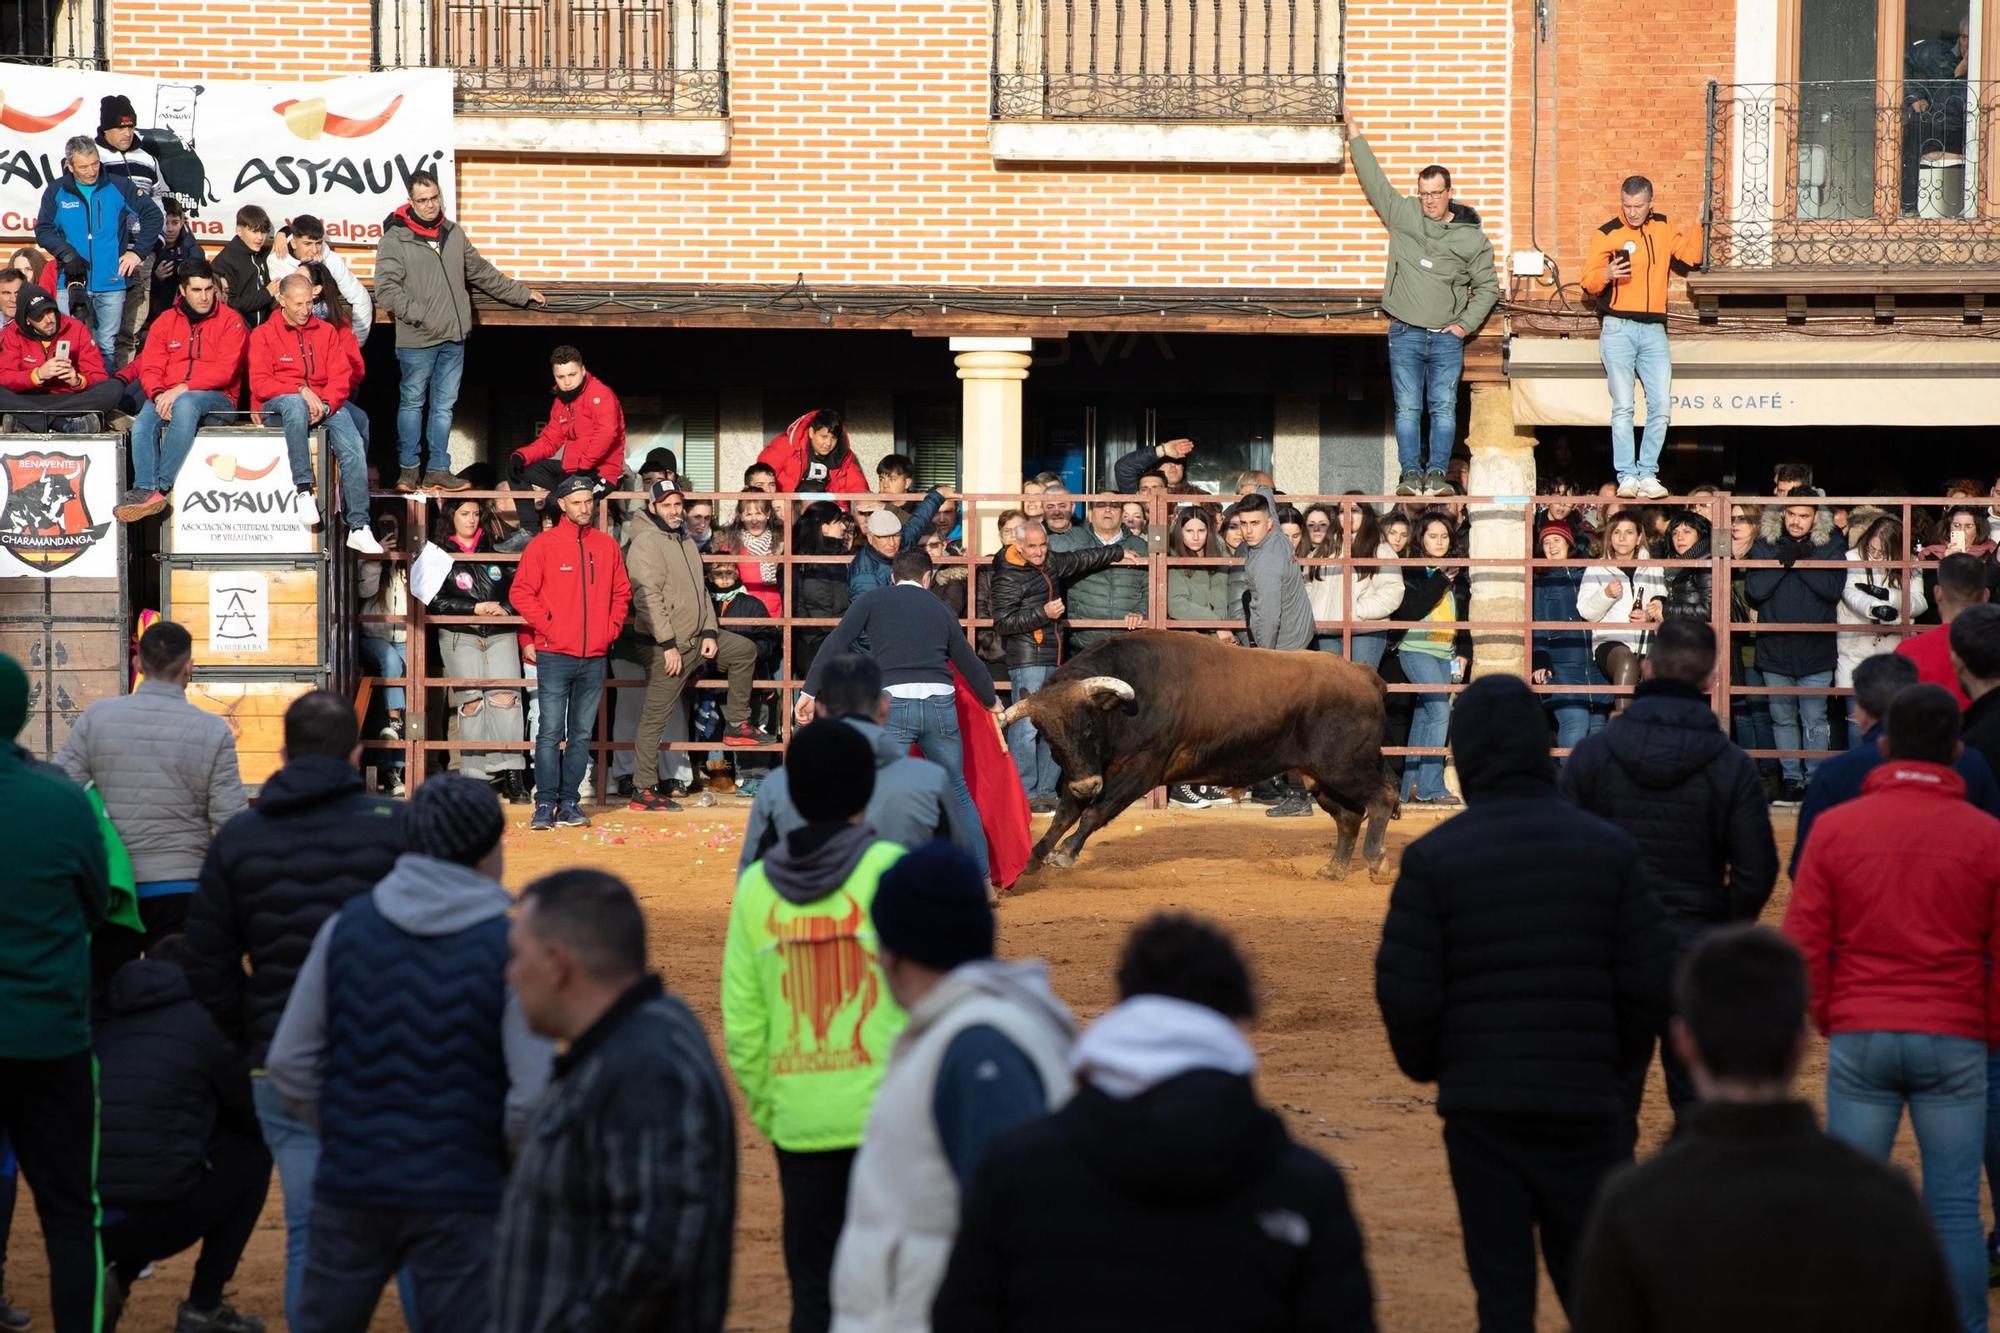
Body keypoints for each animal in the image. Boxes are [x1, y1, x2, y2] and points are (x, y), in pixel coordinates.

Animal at [1000, 628, 1408, 876]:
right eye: (1047, 736)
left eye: (1087, 725)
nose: (1087, 786)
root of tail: (1364, 675)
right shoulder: (1088, 770)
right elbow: (1063, 814)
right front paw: (1032, 861)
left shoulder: (1143, 769)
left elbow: (1094, 812)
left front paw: (1066, 853)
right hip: (1320, 777)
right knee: (1349, 817)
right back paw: (1334, 868)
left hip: (1344, 768)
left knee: (1382, 797)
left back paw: (1376, 861)